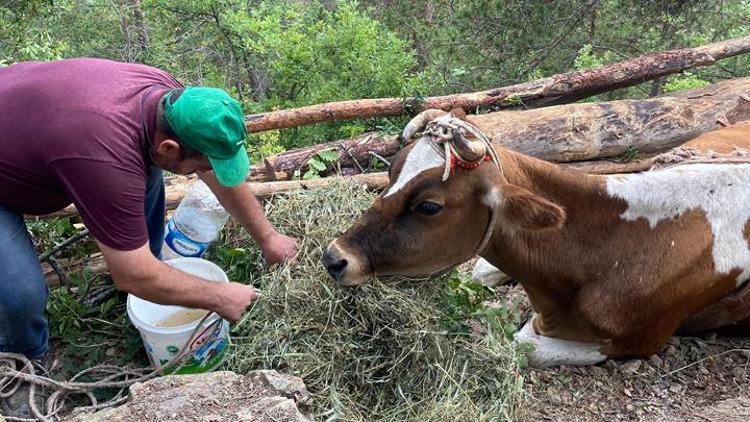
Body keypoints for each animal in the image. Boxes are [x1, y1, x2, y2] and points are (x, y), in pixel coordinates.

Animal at [324, 109, 750, 366]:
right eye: (392, 171)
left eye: (428, 206)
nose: (334, 257)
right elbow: (478, 273)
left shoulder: (638, 340)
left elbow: (523, 343)